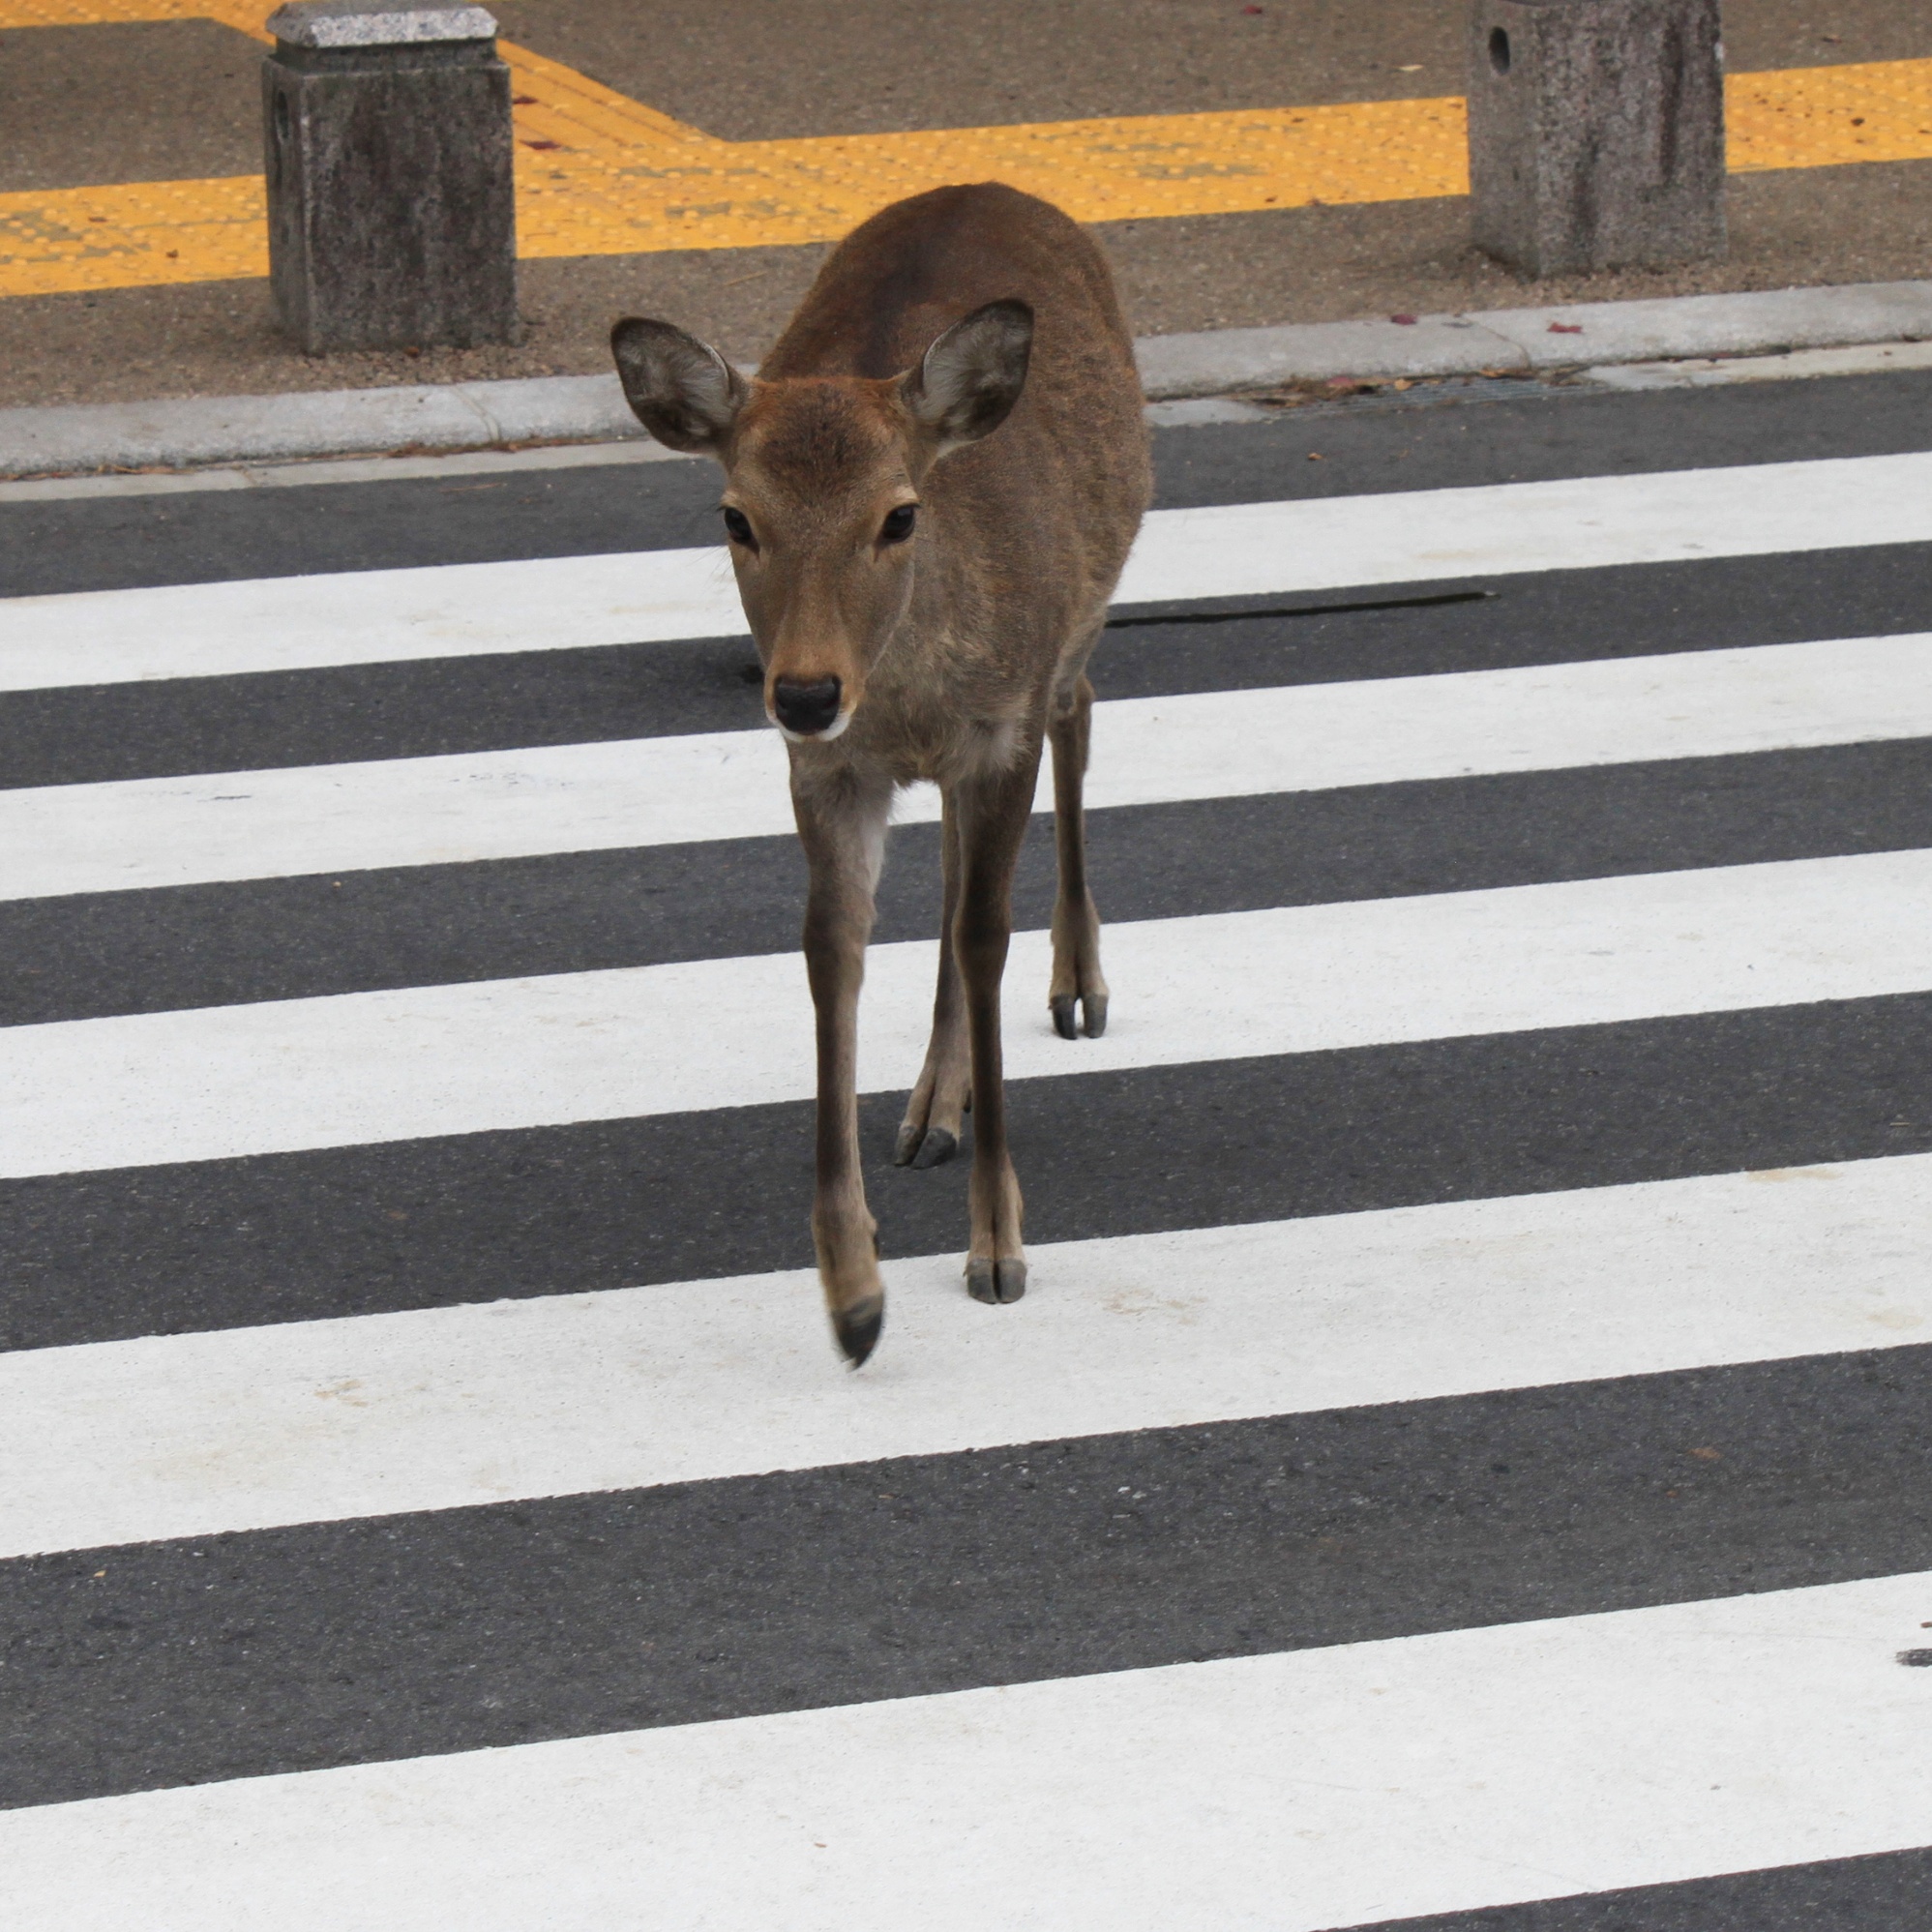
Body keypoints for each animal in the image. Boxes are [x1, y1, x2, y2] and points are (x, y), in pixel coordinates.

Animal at [610, 177, 1144, 1359]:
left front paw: (997, 1248)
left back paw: (1078, 985)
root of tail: (991, 186)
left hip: (1078, 622)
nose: (805, 691)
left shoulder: (998, 730)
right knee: (948, 864)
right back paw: (928, 1107)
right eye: (735, 516)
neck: (907, 687)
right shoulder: (832, 770)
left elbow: (983, 937)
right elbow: (833, 949)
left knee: (1082, 711)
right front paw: (852, 1291)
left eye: (898, 514)